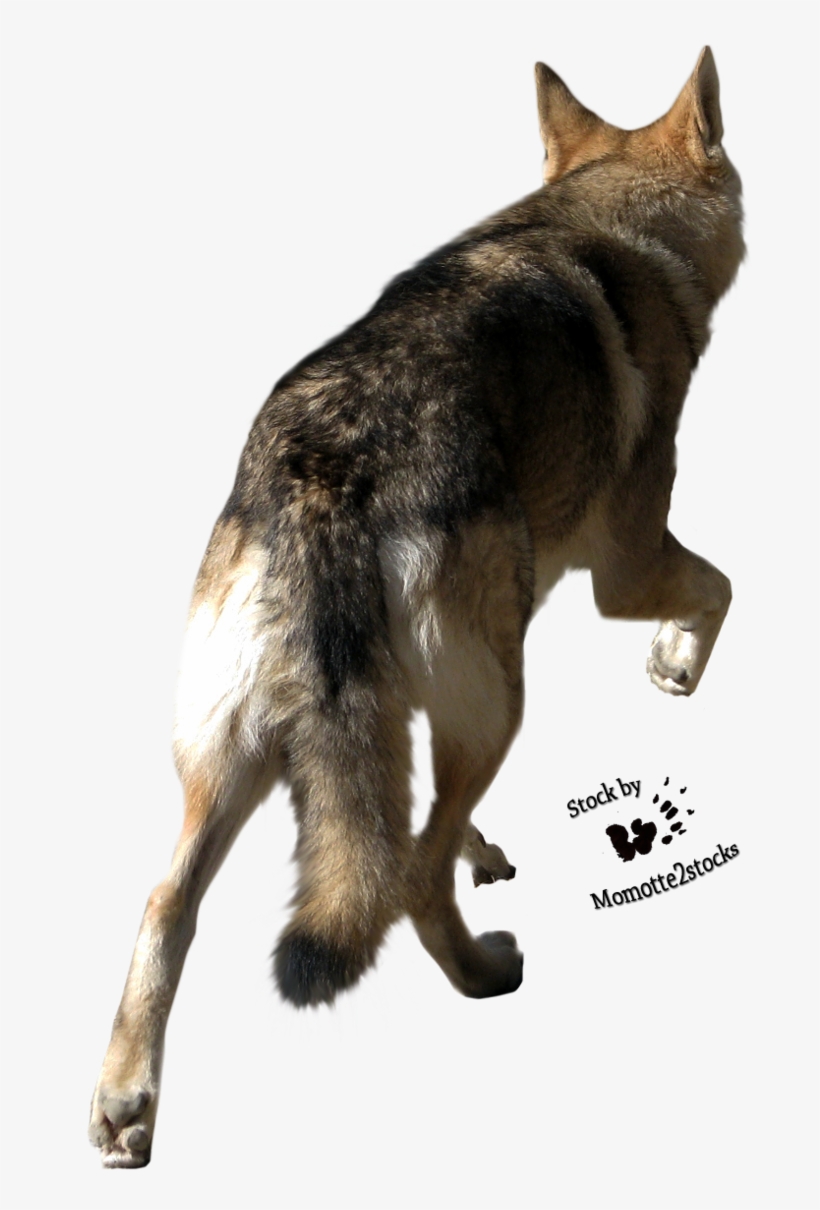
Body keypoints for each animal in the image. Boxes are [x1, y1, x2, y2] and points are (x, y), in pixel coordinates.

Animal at [89, 48, 744, 1166]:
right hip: (501, 703)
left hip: (242, 755)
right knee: (410, 873)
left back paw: (126, 1104)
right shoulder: (623, 571)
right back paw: (485, 971)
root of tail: (322, 481)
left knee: (176, 899)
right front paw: (676, 667)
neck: (611, 218)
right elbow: (723, 586)